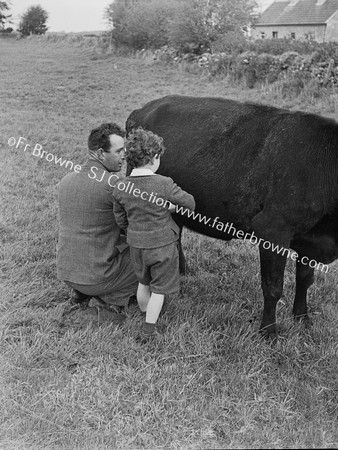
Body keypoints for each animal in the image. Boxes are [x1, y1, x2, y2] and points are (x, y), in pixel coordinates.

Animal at [126, 96, 338, 340]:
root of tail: (145, 108)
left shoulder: (309, 240)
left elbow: (305, 280)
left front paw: (302, 318)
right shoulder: (273, 230)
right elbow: (273, 287)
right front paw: (268, 331)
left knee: (175, 232)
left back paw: (180, 270)